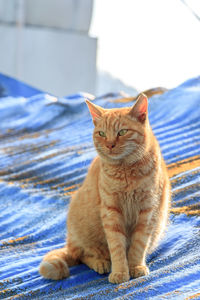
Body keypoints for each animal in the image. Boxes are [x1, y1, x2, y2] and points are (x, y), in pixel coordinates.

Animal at [38, 94, 170, 284]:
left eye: (122, 132)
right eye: (102, 134)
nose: (110, 144)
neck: (126, 171)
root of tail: (70, 241)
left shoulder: (147, 211)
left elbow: (138, 244)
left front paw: (135, 266)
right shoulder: (111, 211)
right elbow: (116, 246)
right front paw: (120, 272)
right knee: (83, 255)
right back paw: (101, 263)